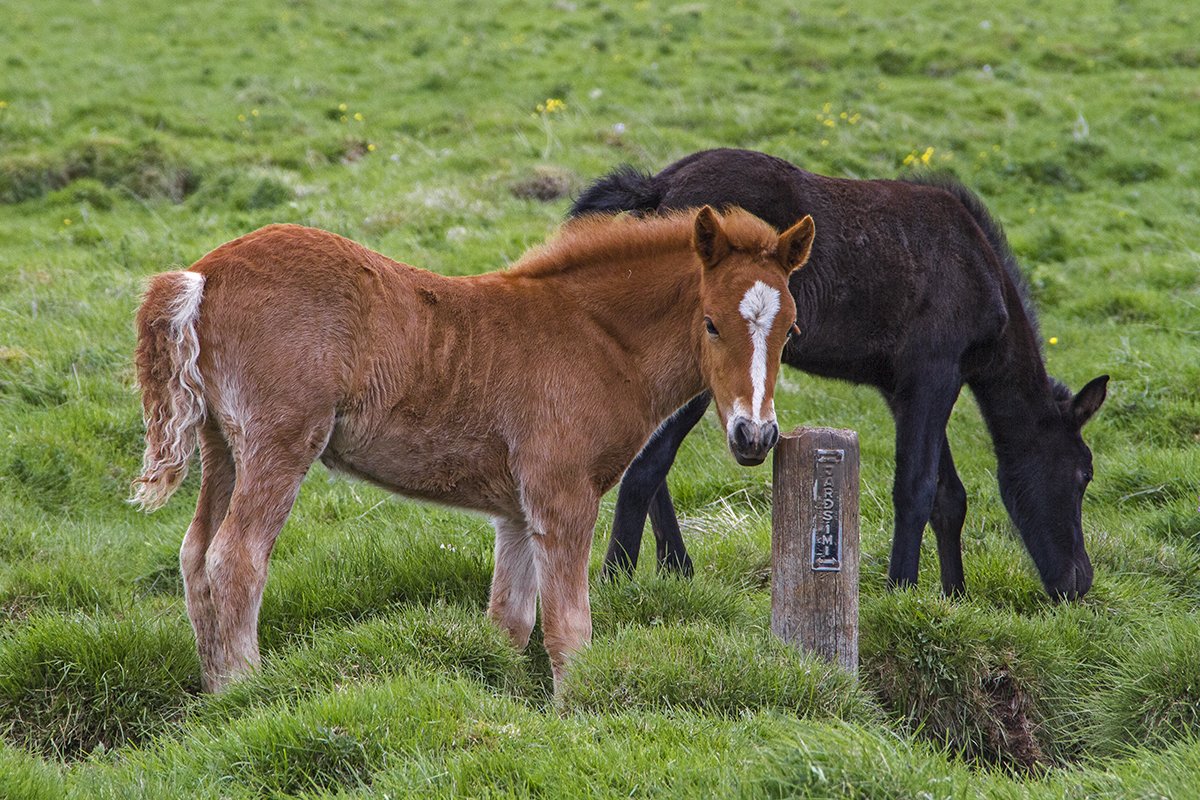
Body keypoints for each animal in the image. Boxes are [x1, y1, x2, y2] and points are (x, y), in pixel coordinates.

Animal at [131, 208, 816, 695]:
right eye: (710, 323)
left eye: (791, 331)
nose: (754, 437)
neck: (596, 338)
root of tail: (204, 275)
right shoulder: (561, 498)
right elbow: (570, 629)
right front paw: (576, 714)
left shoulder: (516, 511)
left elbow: (509, 624)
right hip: (279, 443)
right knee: (236, 559)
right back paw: (246, 692)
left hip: (223, 446)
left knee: (195, 555)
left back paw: (214, 694)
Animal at [571, 149, 1104, 599]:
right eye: (1084, 473)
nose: (1078, 581)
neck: (982, 278)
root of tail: (656, 187)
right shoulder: (935, 372)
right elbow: (916, 488)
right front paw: (900, 591)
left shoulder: (903, 387)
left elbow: (948, 495)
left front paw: (953, 595)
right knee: (646, 465)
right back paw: (617, 577)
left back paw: (674, 566)